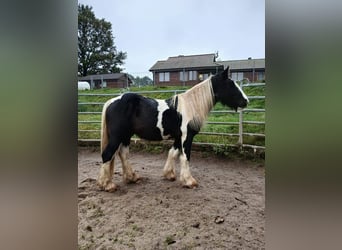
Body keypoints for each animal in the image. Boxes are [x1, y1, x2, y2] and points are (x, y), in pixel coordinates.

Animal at [96, 66, 248, 191]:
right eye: (231, 84)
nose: (246, 101)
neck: (190, 107)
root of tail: (112, 101)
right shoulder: (187, 137)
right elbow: (185, 157)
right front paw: (189, 181)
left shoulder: (178, 137)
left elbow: (173, 153)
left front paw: (169, 174)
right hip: (117, 136)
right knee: (107, 154)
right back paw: (107, 185)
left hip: (126, 135)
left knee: (123, 153)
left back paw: (132, 177)